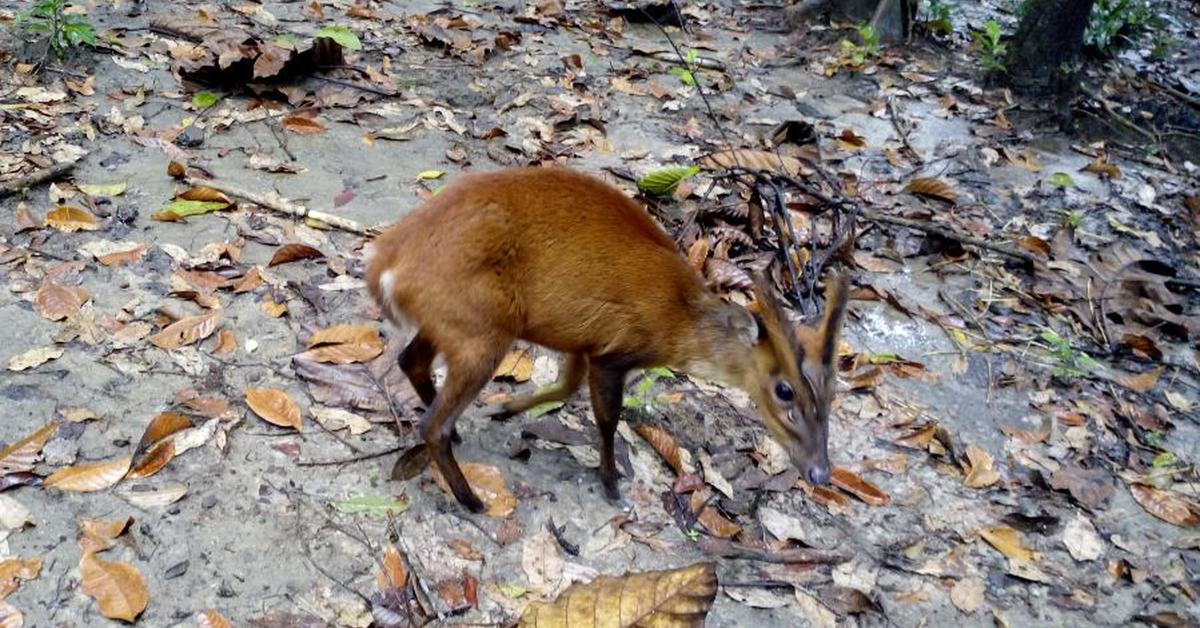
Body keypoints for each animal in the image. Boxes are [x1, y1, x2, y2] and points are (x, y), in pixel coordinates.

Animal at [369, 168, 849, 516]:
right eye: (784, 389)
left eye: (831, 393)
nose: (821, 473)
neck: (678, 321)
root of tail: (385, 266)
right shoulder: (614, 350)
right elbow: (606, 419)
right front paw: (611, 482)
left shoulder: (582, 341)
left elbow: (565, 386)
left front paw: (508, 409)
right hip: (480, 329)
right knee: (431, 423)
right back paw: (471, 499)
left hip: (458, 324)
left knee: (411, 362)